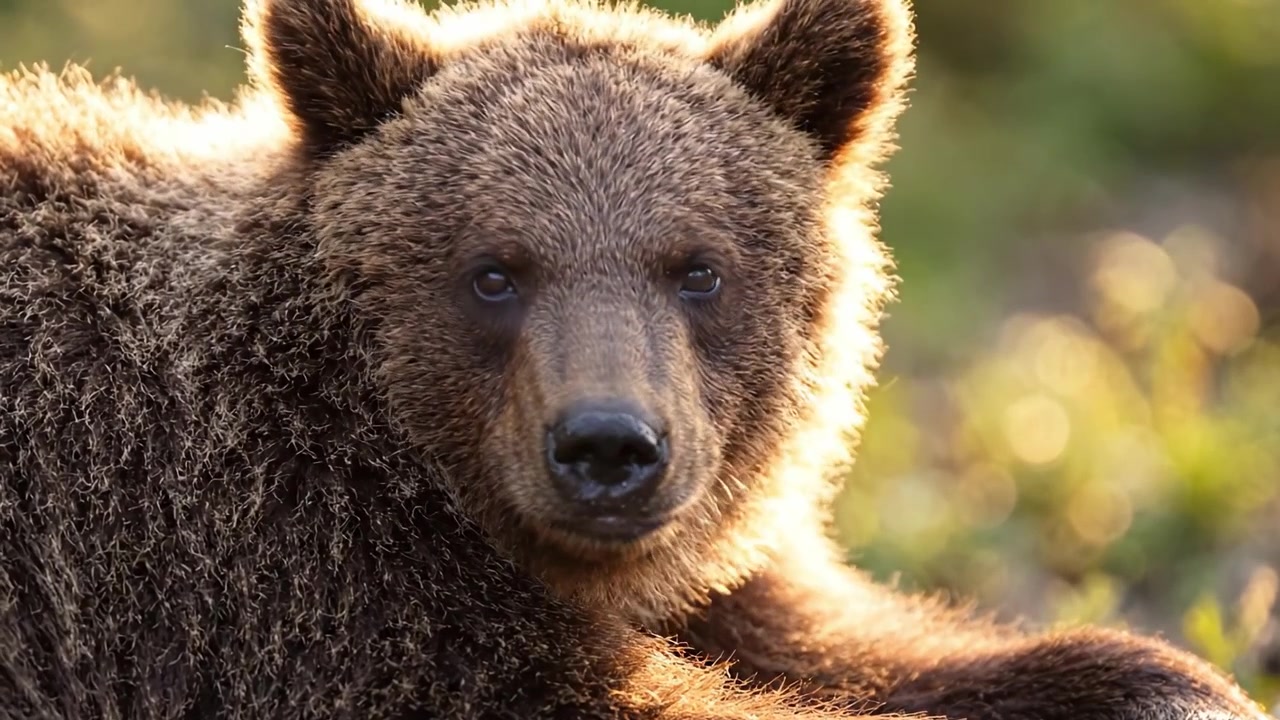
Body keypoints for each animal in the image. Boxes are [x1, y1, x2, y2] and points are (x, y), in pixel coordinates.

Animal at [0, 0, 1270, 718]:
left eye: (694, 267)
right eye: (494, 270)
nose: (607, 447)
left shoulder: (707, 547)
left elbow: (838, 637)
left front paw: (1160, 681)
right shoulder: (278, 569)